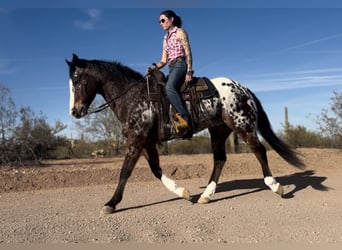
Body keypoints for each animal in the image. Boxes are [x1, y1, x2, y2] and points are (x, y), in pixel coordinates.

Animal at [67, 53, 304, 214]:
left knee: (259, 150)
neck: (133, 96)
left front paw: (111, 203)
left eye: (77, 80)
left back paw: (275, 186)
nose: (75, 111)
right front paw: (182, 192)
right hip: (219, 131)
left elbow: (125, 171)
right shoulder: (146, 143)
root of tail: (243, 88)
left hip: (242, 125)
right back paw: (206, 195)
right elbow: (156, 170)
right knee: (220, 159)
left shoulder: (136, 141)